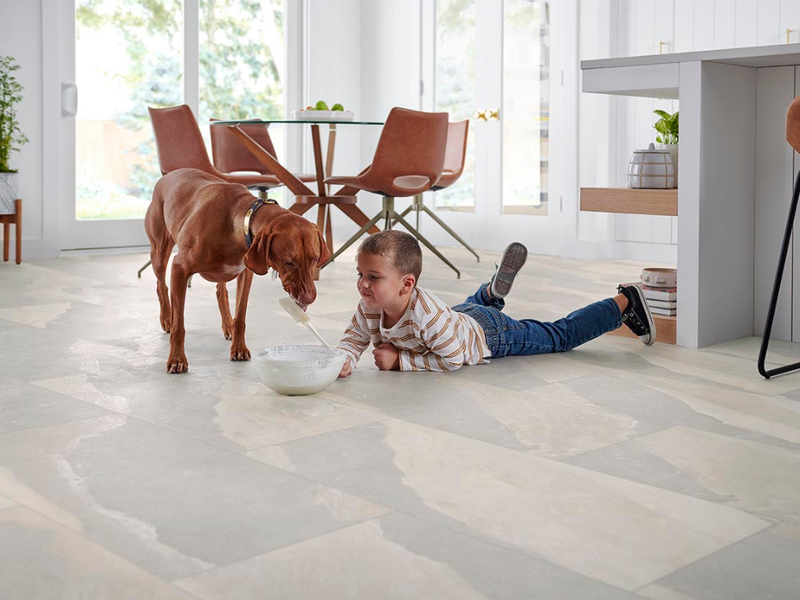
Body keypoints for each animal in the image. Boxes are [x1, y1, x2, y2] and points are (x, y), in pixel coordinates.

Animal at [145, 169, 332, 372]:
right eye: (288, 262)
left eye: (314, 259)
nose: (309, 298)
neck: (240, 221)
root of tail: (168, 175)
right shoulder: (179, 268)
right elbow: (179, 325)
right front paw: (177, 358)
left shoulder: (246, 273)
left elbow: (240, 316)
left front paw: (239, 347)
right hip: (159, 252)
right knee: (161, 286)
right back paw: (166, 318)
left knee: (221, 292)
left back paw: (228, 324)